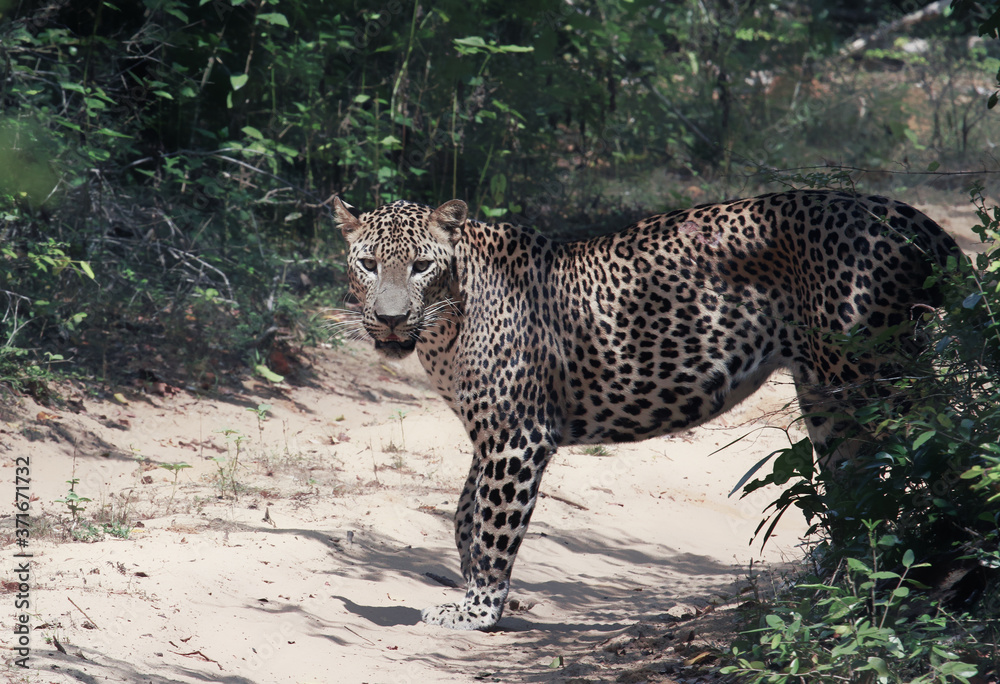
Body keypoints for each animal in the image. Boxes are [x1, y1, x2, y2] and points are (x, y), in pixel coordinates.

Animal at [332, 189, 960, 631]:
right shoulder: (490, 433)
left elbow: (491, 524)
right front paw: (477, 596)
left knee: (939, 443)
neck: (448, 320)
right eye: (368, 264)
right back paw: (840, 576)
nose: (389, 319)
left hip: (873, 373)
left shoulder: (517, 432)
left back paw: (942, 559)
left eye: (420, 266)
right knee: (859, 479)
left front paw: (477, 610)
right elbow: (465, 516)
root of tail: (911, 217)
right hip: (828, 395)